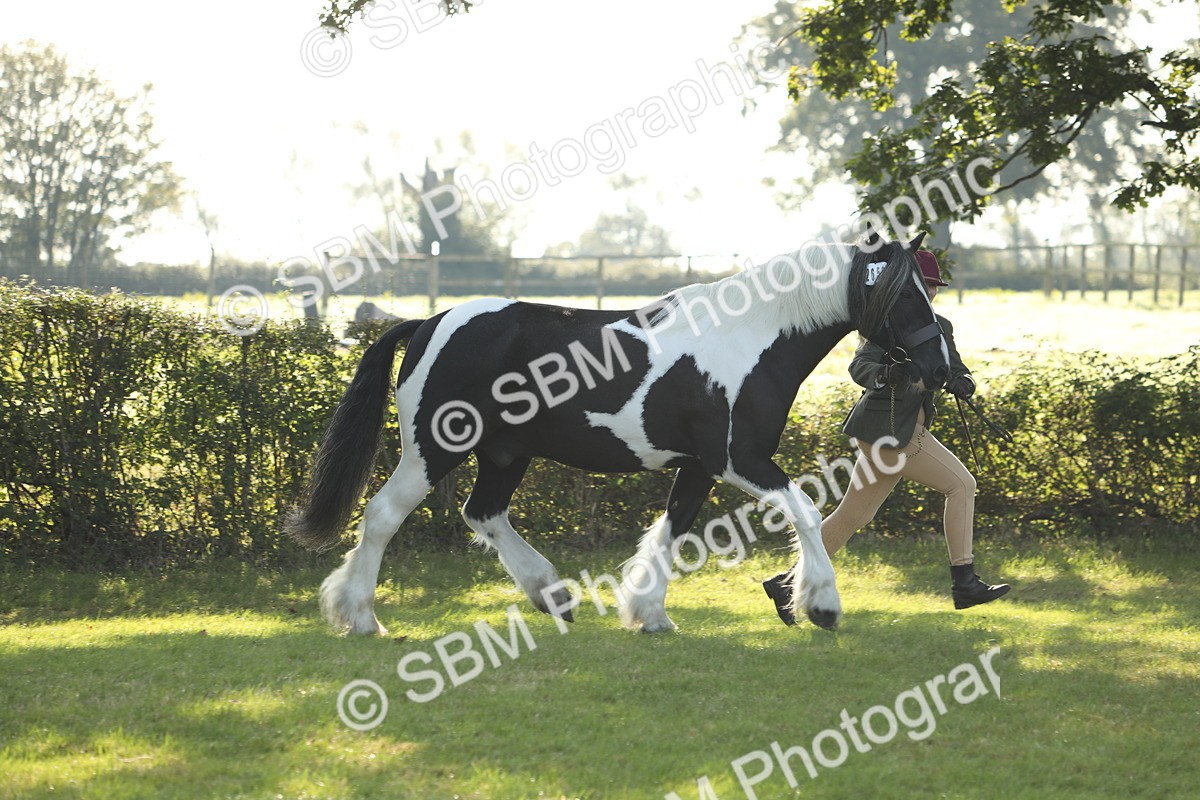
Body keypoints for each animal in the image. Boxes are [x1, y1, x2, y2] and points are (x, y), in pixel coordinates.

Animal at [286, 232, 950, 635]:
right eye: (905, 297)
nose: (942, 369)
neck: (750, 339)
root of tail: (429, 322)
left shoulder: (700, 466)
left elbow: (672, 529)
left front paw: (649, 612)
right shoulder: (740, 459)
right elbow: (807, 512)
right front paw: (822, 605)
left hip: (504, 453)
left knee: (485, 514)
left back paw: (551, 595)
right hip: (432, 450)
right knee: (382, 515)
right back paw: (361, 617)